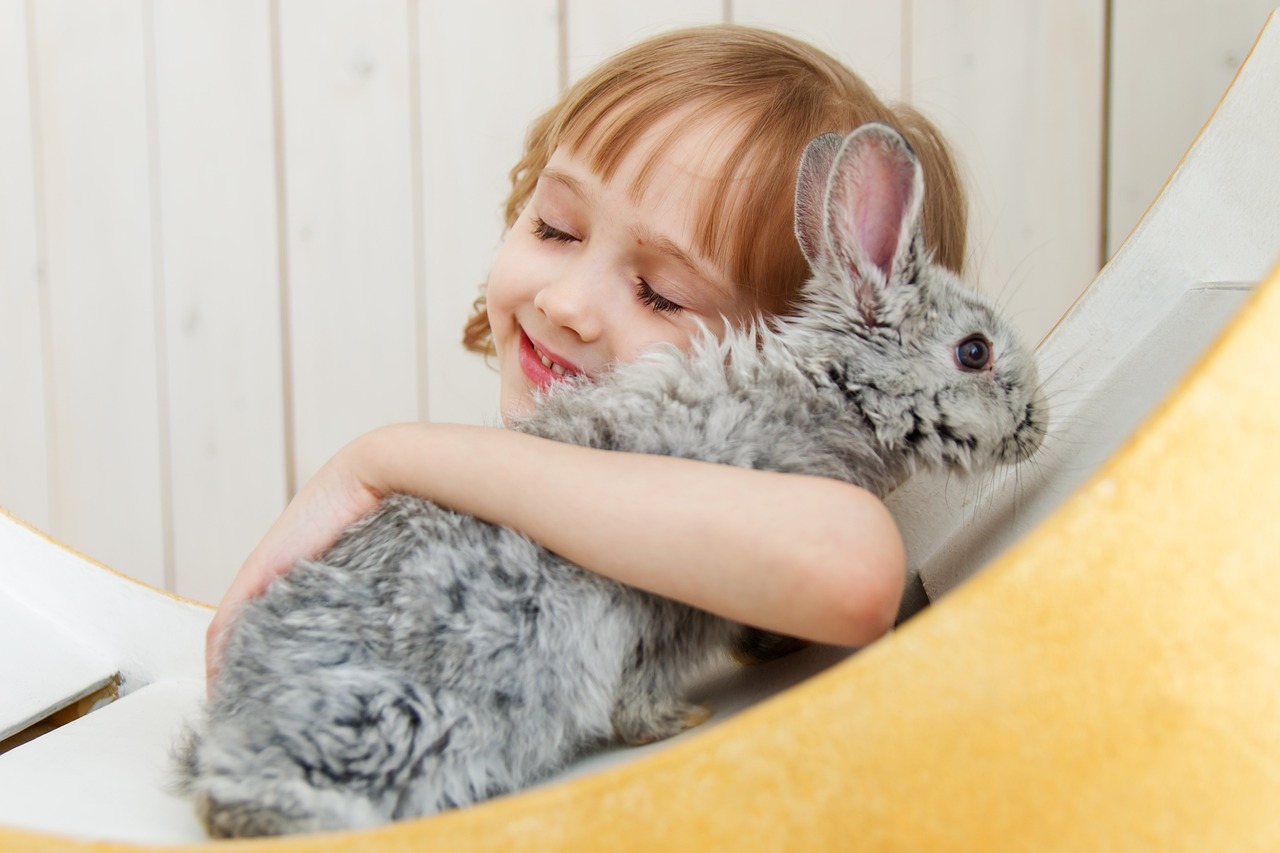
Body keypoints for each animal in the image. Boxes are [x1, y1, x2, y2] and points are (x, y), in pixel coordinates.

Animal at [177, 122, 1049, 835]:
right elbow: (647, 681)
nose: (1038, 425)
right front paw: (676, 719)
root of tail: (235, 724)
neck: (833, 390)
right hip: (403, 716)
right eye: (974, 352)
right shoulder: (683, 591)